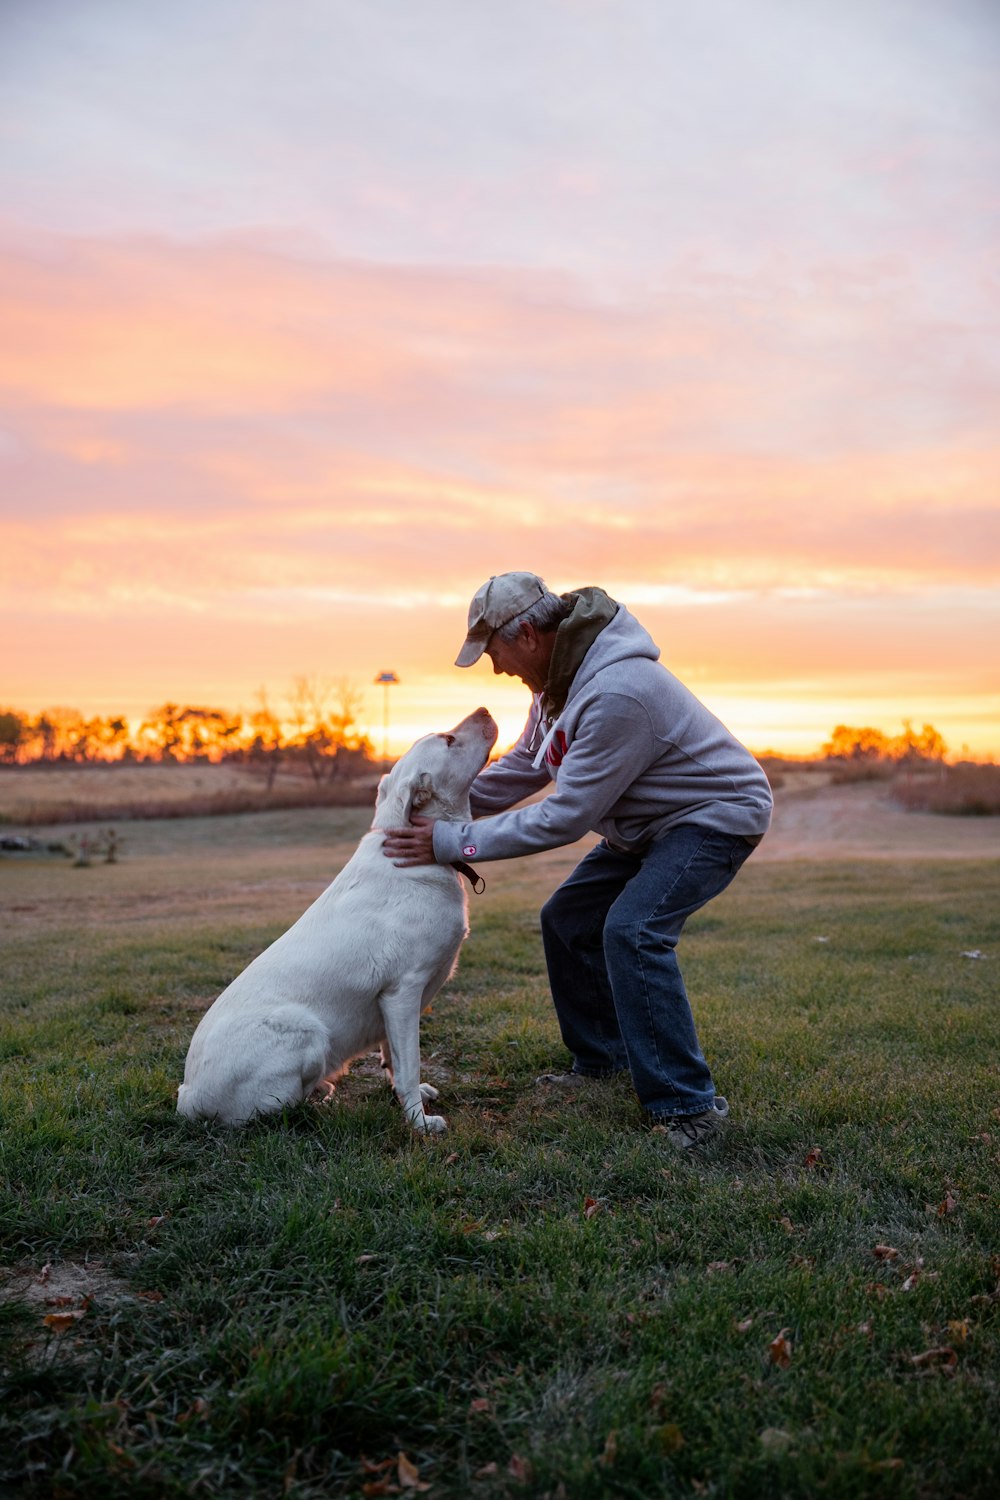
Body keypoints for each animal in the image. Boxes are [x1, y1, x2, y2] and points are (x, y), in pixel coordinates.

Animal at [177, 708, 497, 1128]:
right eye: (449, 740)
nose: (484, 711)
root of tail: (188, 1097)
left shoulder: (392, 1004)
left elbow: (394, 1059)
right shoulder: (403, 991)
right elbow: (409, 1065)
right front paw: (419, 1122)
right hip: (309, 1032)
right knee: (271, 1113)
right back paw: (316, 1097)